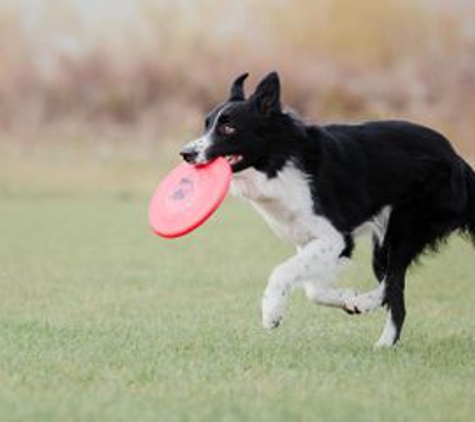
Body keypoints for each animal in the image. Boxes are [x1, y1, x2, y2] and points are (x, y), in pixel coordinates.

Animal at [179, 72, 475, 348]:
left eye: (228, 128)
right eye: (207, 124)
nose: (185, 153)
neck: (280, 158)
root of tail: (457, 158)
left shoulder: (336, 237)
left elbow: (282, 271)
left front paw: (271, 312)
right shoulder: (310, 239)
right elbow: (312, 288)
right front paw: (346, 298)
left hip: (404, 228)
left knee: (394, 286)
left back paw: (376, 329)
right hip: (383, 243)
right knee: (392, 289)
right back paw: (372, 320)